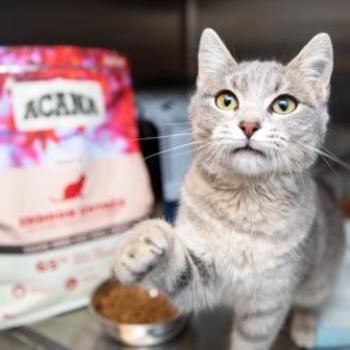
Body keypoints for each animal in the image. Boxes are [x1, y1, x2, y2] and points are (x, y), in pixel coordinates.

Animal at [114, 28, 344, 348]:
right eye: (226, 100)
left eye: (284, 105)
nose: (248, 125)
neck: (245, 205)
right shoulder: (207, 277)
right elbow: (180, 269)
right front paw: (142, 242)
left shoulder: (268, 303)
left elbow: (252, 339)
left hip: (319, 281)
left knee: (310, 303)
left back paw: (305, 326)